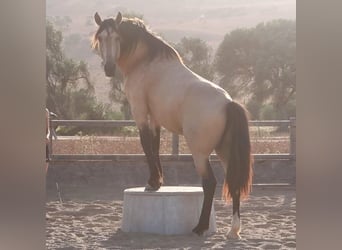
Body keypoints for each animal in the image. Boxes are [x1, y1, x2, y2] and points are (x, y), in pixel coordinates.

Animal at [92, 11, 252, 238]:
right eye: (100, 38)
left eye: (116, 37)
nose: (108, 68)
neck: (145, 62)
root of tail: (228, 103)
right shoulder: (155, 118)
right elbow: (156, 146)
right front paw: (158, 182)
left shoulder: (140, 112)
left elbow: (146, 145)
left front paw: (152, 183)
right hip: (225, 152)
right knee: (234, 182)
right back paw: (233, 230)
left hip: (200, 154)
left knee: (210, 183)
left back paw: (200, 227)